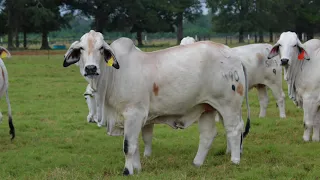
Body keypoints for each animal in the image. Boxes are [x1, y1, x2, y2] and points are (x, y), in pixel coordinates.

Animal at [62, 30, 250, 175]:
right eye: (81, 49)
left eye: (101, 48)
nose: (91, 68)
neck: (112, 77)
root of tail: (234, 55)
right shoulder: (130, 119)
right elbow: (136, 145)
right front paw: (137, 168)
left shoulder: (134, 113)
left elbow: (128, 146)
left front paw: (128, 171)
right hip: (207, 107)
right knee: (207, 135)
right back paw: (196, 163)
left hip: (229, 104)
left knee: (234, 129)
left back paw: (234, 160)